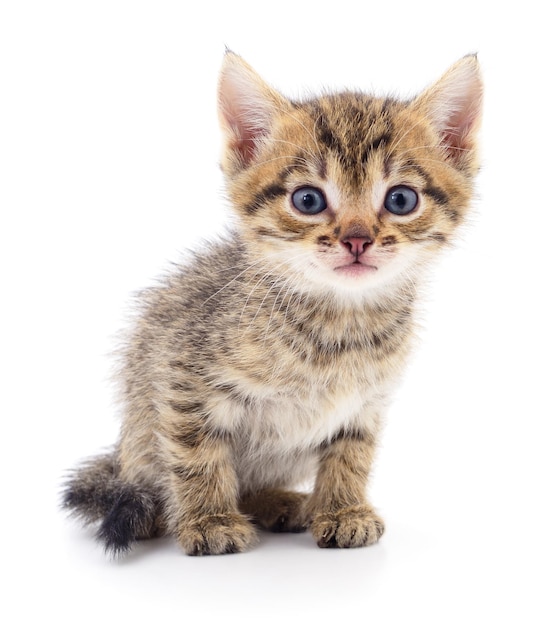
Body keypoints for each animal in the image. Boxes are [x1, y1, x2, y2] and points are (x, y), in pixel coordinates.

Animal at [61, 51, 484, 552]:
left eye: (401, 199)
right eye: (308, 200)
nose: (357, 239)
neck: (340, 322)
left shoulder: (365, 404)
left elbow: (351, 454)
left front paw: (343, 509)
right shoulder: (180, 373)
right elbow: (196, 452)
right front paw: (210, 520)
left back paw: (277, 501)